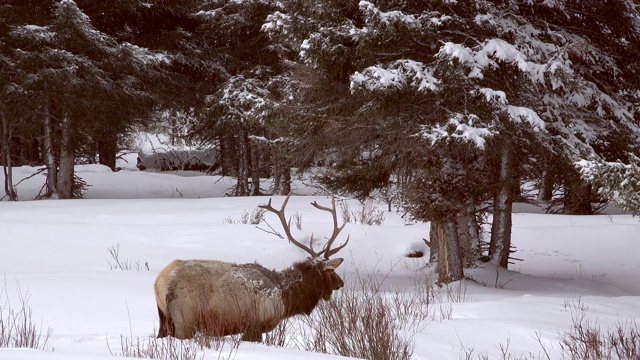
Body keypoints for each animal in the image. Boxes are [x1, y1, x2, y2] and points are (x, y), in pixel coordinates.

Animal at [152, 195, 348, 342]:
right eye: (331, 271)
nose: (341, 283)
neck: (286, 298)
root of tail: (159, 283)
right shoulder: (255, 324)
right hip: (185, 319)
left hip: (165, 321)